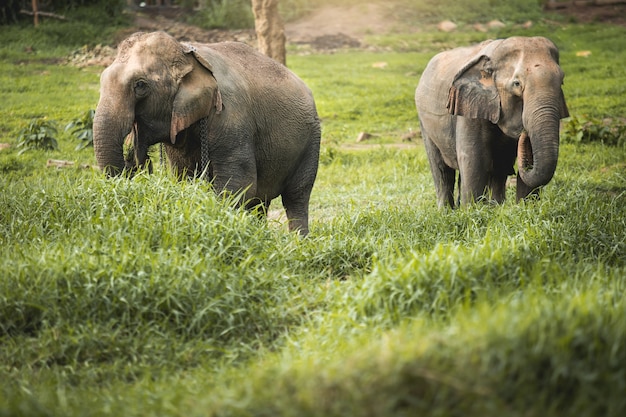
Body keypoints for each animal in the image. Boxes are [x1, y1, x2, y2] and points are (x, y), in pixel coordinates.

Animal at [92, 30, 322, 234]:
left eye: (140, 85)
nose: (133, 162)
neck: (187, 54)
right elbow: (183, 176)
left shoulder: (231, 116)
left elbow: (239, 184)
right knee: (261, 202)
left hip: (312, 139)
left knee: (296, 196)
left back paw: (297, 243)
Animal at [412, 36, 568, 206]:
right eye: (517, 83)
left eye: (562, 81)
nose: (523, 133)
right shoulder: (470, 108)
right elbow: (473, 159)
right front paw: (471, 210)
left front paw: (527, 208)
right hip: (424, 122)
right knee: (441, 169)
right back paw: (447, 210)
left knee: (497, 169)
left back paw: (494, 206)